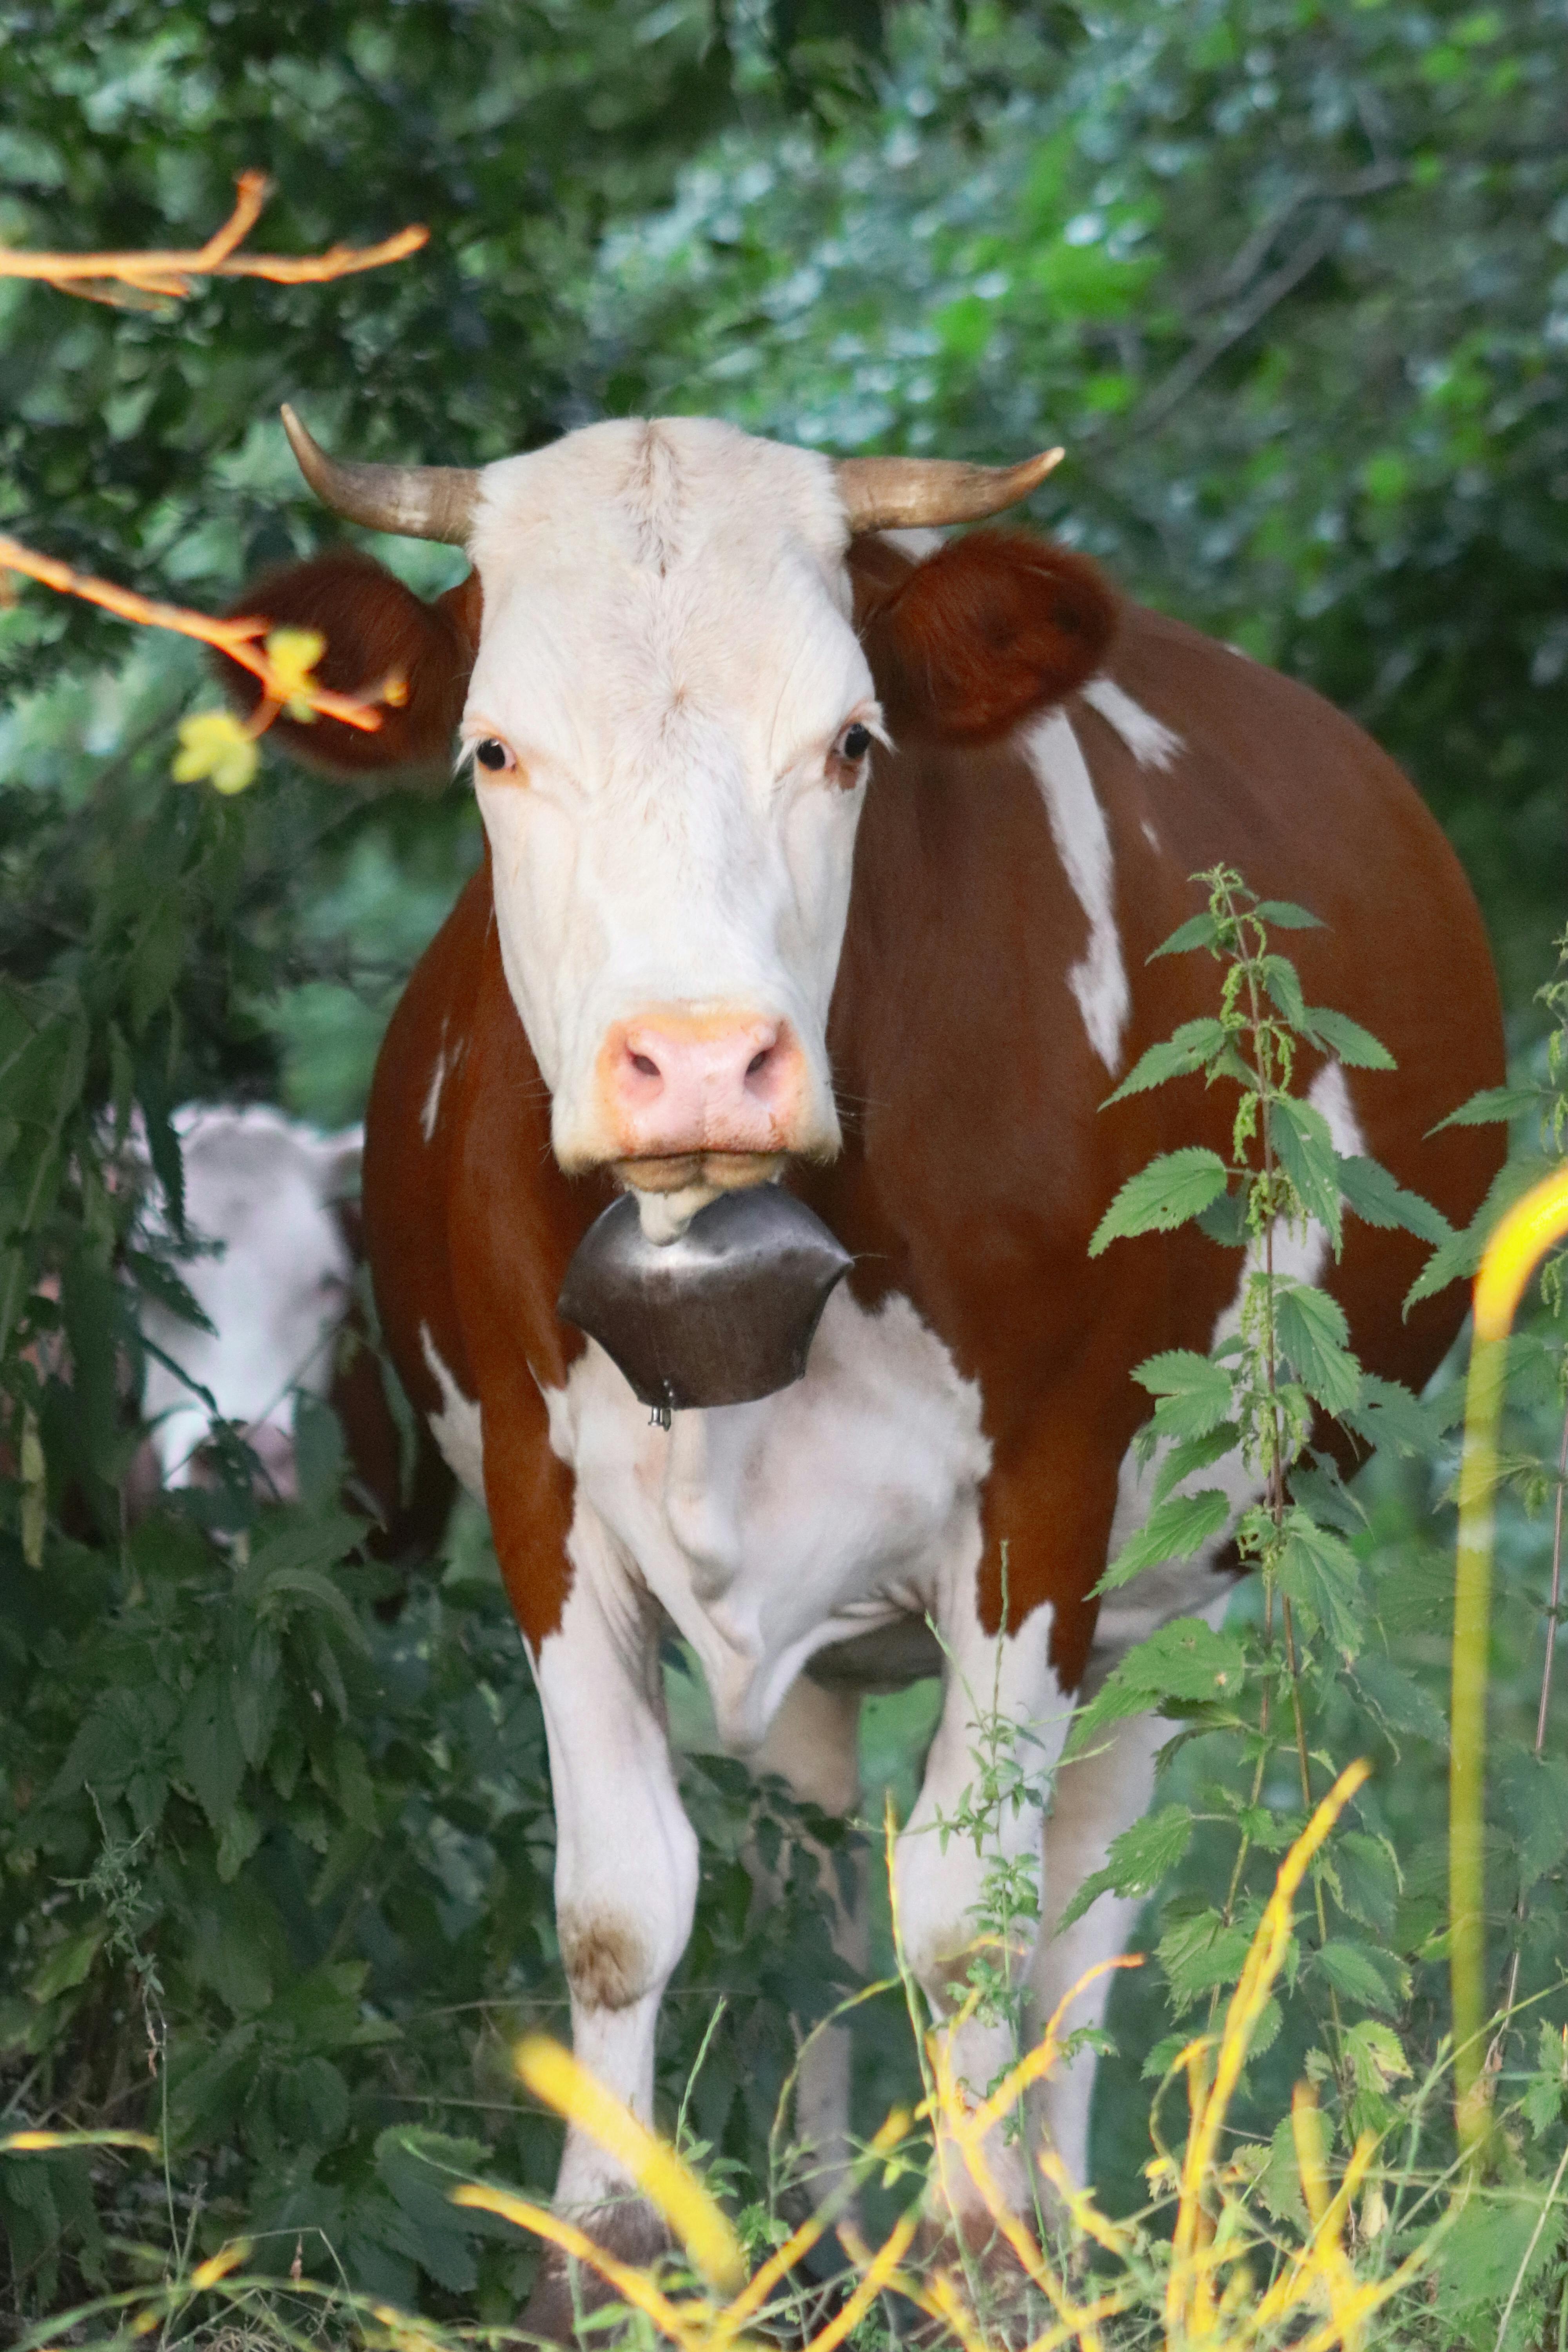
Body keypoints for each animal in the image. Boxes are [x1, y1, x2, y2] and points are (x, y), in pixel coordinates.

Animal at [222, 408, 1503, 2320]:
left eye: (847, 741)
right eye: (493, 747)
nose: (697, 1062)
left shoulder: (1047, 1494)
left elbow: (972, 1919)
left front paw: (984, 2262)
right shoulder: (534, 1493)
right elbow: (623, 1901)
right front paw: (607, 2260)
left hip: (1182, 1580)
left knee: (1080, 1900)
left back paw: (1055, 2225)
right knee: (808, 1873)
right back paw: (822, 2236)